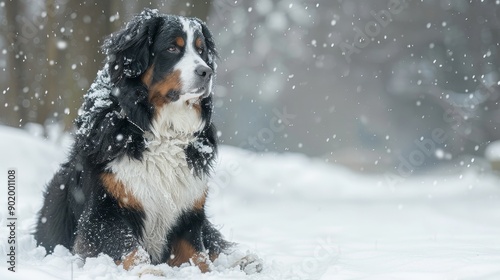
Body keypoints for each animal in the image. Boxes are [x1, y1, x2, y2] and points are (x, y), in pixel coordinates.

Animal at [33, 8, 264, 274]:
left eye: (201, 50)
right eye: (172, 48)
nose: (207, 72)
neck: (163, 130)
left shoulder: (189, 212)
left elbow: (199, 255)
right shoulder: (105, 210)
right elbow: (129, 247)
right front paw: (148, 271)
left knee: (213, 238)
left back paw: (243, 260)